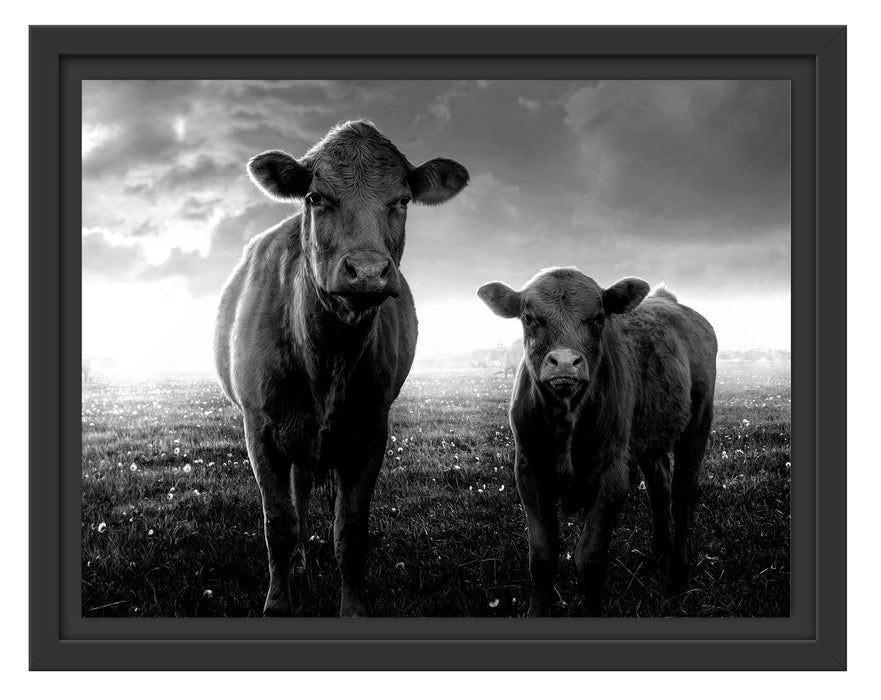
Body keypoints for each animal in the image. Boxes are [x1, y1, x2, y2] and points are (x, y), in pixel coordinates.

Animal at [215, 120, 468, 616]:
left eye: (402, 199)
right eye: (316, 197)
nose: (367, 271)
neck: (327, 357)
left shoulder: (370, 431)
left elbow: (350, 529)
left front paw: (351, 607)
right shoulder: (259, 429)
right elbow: (278, 523)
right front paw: (278, 602)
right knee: (297, 502)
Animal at [478, 267, 716, 616]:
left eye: (598, 317)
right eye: (529, 317)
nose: (565, 362)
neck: (566, 420)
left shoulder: (612, 476)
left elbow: (589, 559)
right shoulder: (529, 471)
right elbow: (542, 556)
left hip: (698, 424)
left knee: (682, 497)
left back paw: (677, 576)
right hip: (648, 439)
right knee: (659, 487)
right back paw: (660, 554)